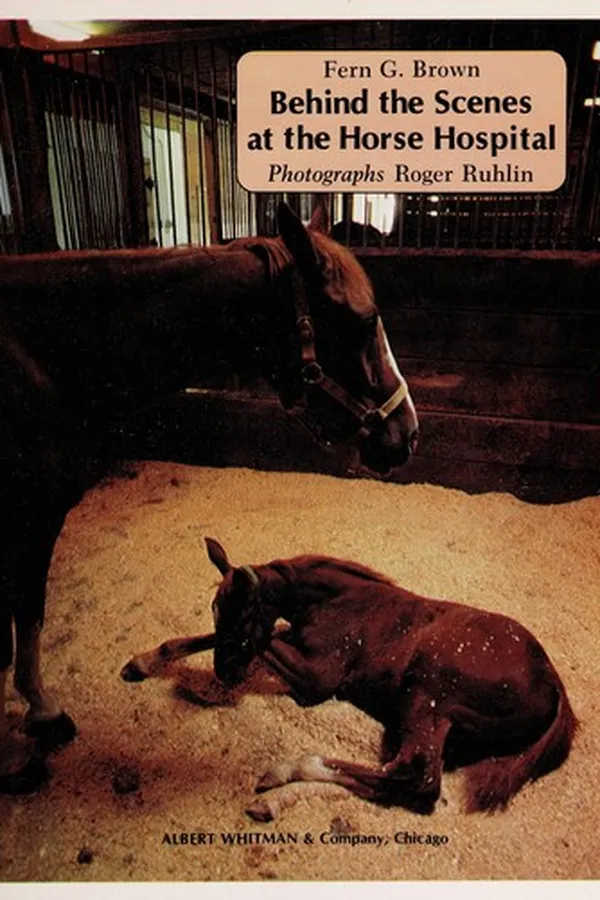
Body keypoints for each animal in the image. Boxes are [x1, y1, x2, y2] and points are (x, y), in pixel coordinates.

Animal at [0, 203, 419, 794]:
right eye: (363, 321)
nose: (409, 433)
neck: (45, 359)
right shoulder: (34, 518)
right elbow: (29, 611)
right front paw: (43, 712)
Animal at [123, 537, 576, 819]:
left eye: (245, 616)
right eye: (217, 611)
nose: (226, 674)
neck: (342, 599)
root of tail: (553, 683)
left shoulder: (316, 679)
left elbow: (268, 642)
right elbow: (206, 638)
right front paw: (143, 662)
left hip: (426, 694)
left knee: (416, 777)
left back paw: (284, 774)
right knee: (401, 780)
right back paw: (276, 794)